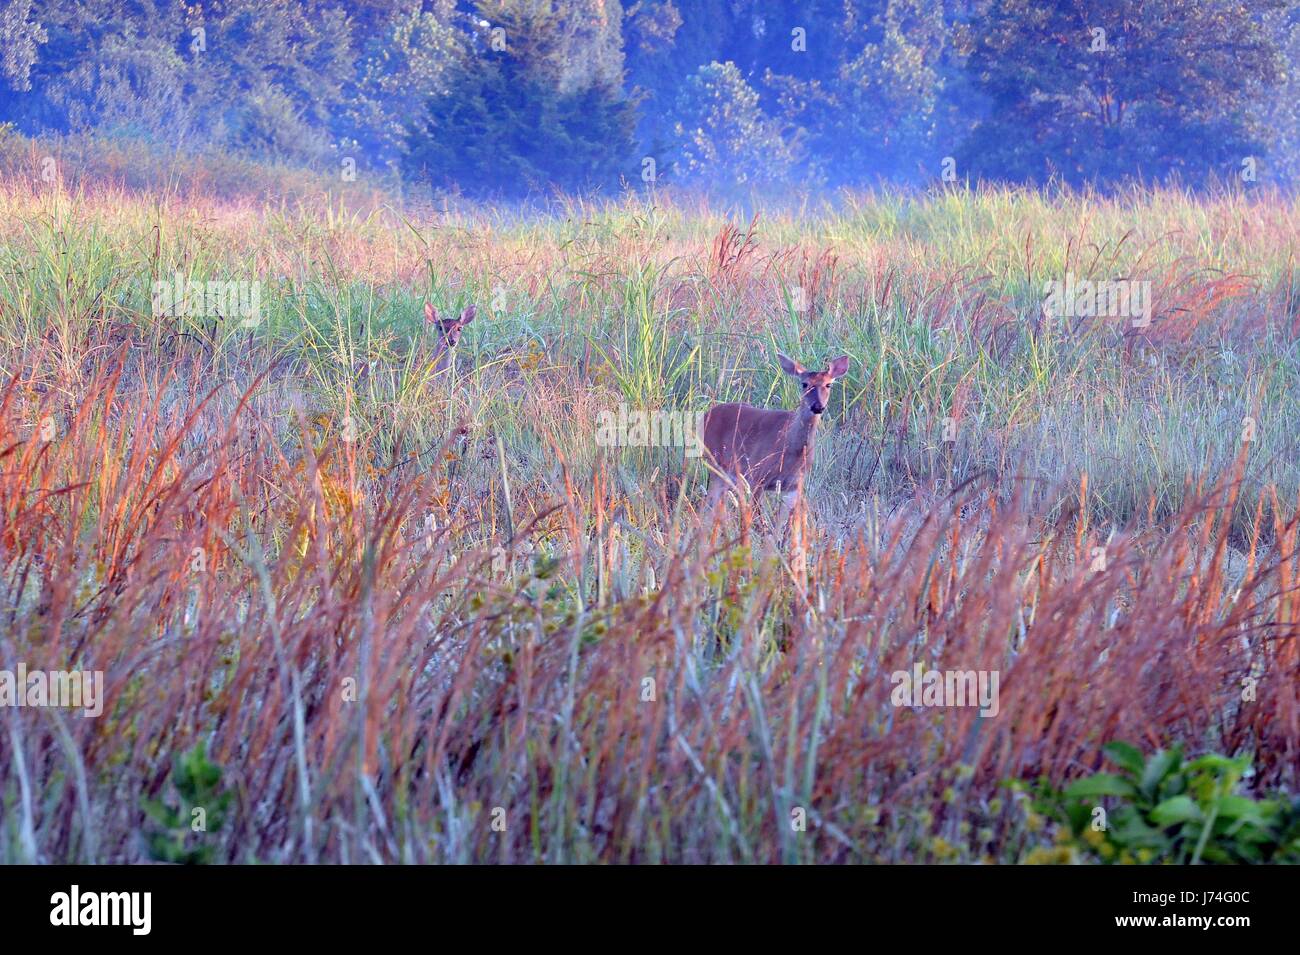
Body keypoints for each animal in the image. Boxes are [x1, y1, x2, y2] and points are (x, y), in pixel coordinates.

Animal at [707, 353, 847, 527]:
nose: (818, 406)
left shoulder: (795, 485)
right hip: (717, 465)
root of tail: (705, 415)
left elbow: (787, 523)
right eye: (804, 384)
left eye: (828, 385)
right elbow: (759, 519)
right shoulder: (757, 477)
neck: (792, 450)